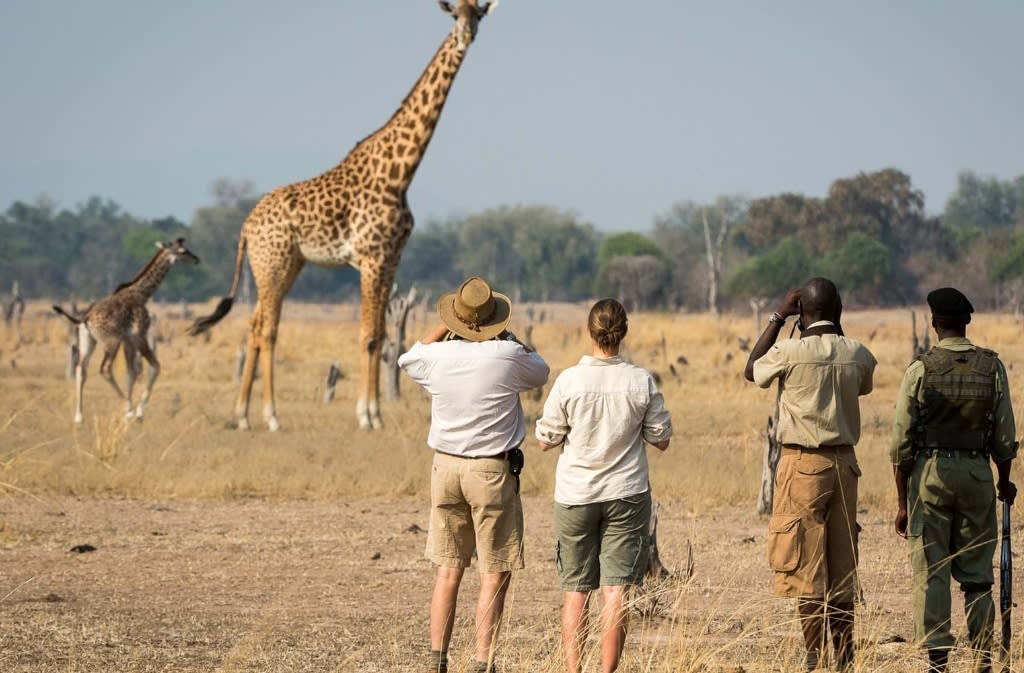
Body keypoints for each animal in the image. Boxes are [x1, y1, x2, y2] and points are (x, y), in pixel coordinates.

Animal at [54, 238, 199, 422]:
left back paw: (79, 417)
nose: (196, 259)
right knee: (105, 369)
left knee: (81, 369)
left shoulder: (128, 340)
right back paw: (127, 408)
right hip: (111, 341)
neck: (141, 294)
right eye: (183, 251)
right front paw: (138, 412)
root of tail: (85, 318)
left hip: (88, 341)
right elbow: (155, 367)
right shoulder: (139, 335)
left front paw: (132, 411)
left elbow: (130, 374)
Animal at [191, 0, 499, 430]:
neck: (399, 173)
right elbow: (368, 335)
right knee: (267, 329)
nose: (466, 36)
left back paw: (242, 415)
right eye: (455, 15)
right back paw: (270, 416)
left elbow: (382, 333)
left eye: (479, 14)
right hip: (272, 264)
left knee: (254, 326)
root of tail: (246, 227)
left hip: (285, 266)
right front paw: (367, 416)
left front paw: (376, 413)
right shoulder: (371, 258)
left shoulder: (391, 258)